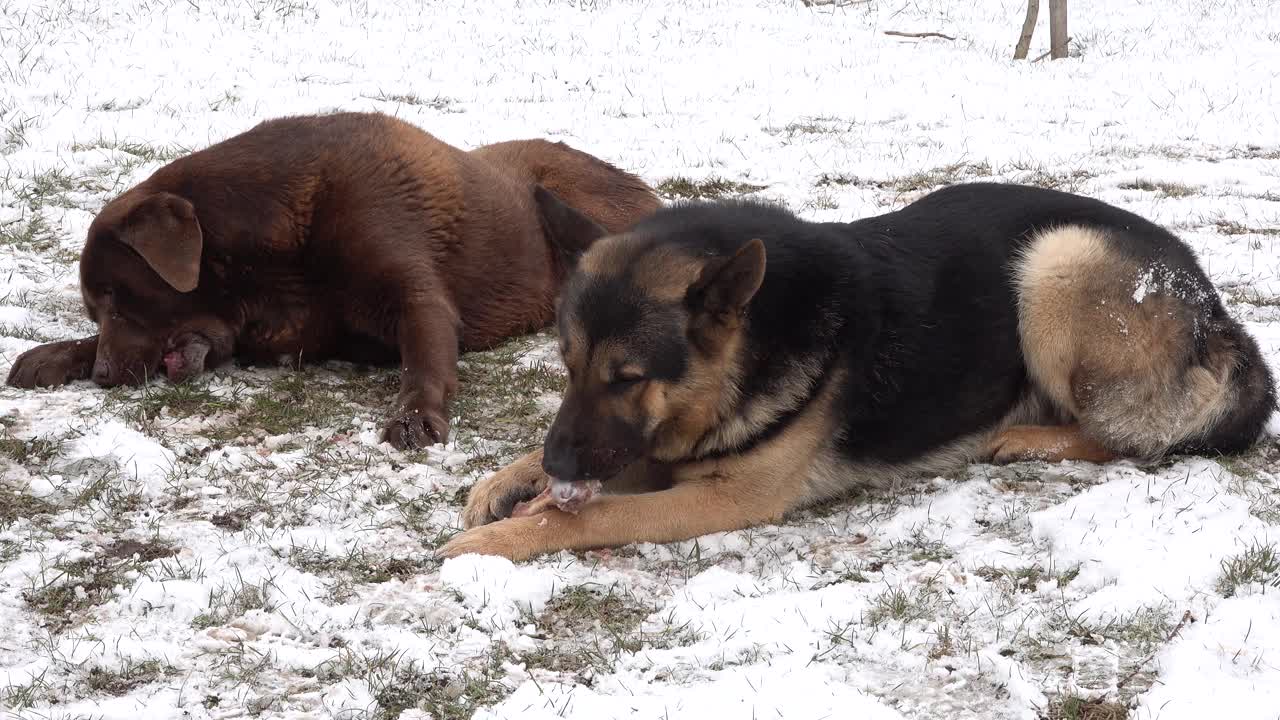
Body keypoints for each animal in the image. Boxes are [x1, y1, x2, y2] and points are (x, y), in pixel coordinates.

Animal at [10, 110, 665, 448]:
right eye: (95, 308)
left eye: (119, 298)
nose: (102, 377)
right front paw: (56, 354)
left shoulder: (415, 296)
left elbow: (424, 358)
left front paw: (415, 416)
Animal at [437, 180, 1269, 561]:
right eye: (568, 364)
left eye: (627, 377)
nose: (560, 461)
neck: (758, 339)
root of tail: (1213, 306)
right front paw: (505, 482)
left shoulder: (725, 498)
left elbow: (593, 515)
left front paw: (496, 541)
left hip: (1054, 264)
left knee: (1131, 432)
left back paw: (1029, 437)